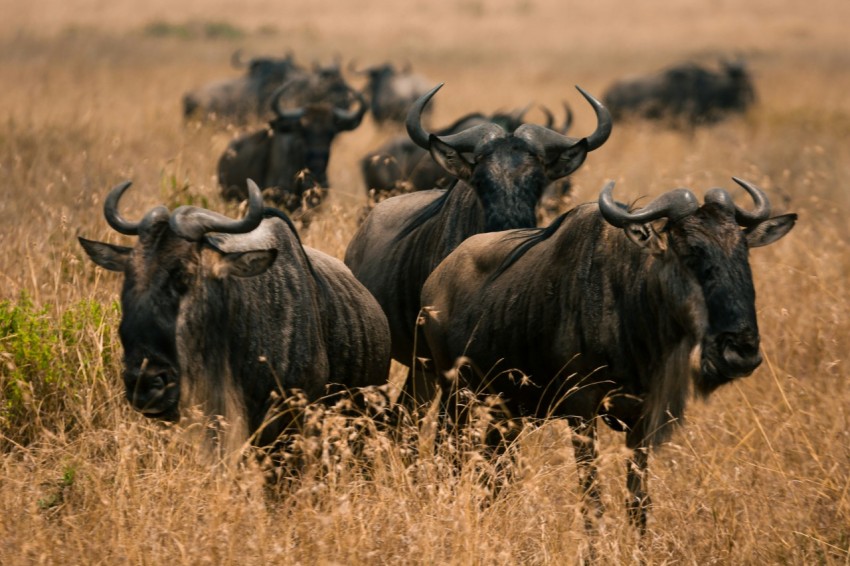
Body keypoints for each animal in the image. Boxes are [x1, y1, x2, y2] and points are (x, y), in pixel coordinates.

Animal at [419, 178, 795, 532]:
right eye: (691, 253)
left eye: (743, 253)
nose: (741, 353)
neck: (631, 302)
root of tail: (435, 278)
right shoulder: (582, 413)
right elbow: (592, 503)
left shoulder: (641, 421)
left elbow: (638, 504)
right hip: (456, 398)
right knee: (450, 461)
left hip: (505, 411)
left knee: (493, 474)